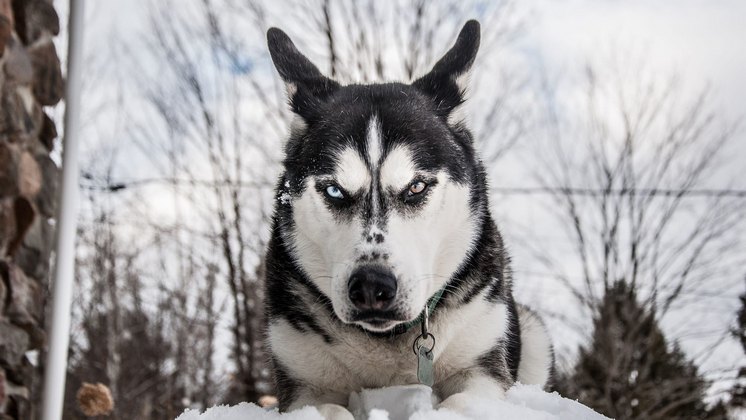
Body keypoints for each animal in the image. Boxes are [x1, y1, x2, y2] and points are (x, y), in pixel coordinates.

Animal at [264, 20, 548, 420]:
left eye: (416, 186)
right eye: (334, 190)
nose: (371, 286)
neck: (386, 340)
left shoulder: (481, 369)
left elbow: (462, 403)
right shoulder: (305, 383)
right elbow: (327, 409)